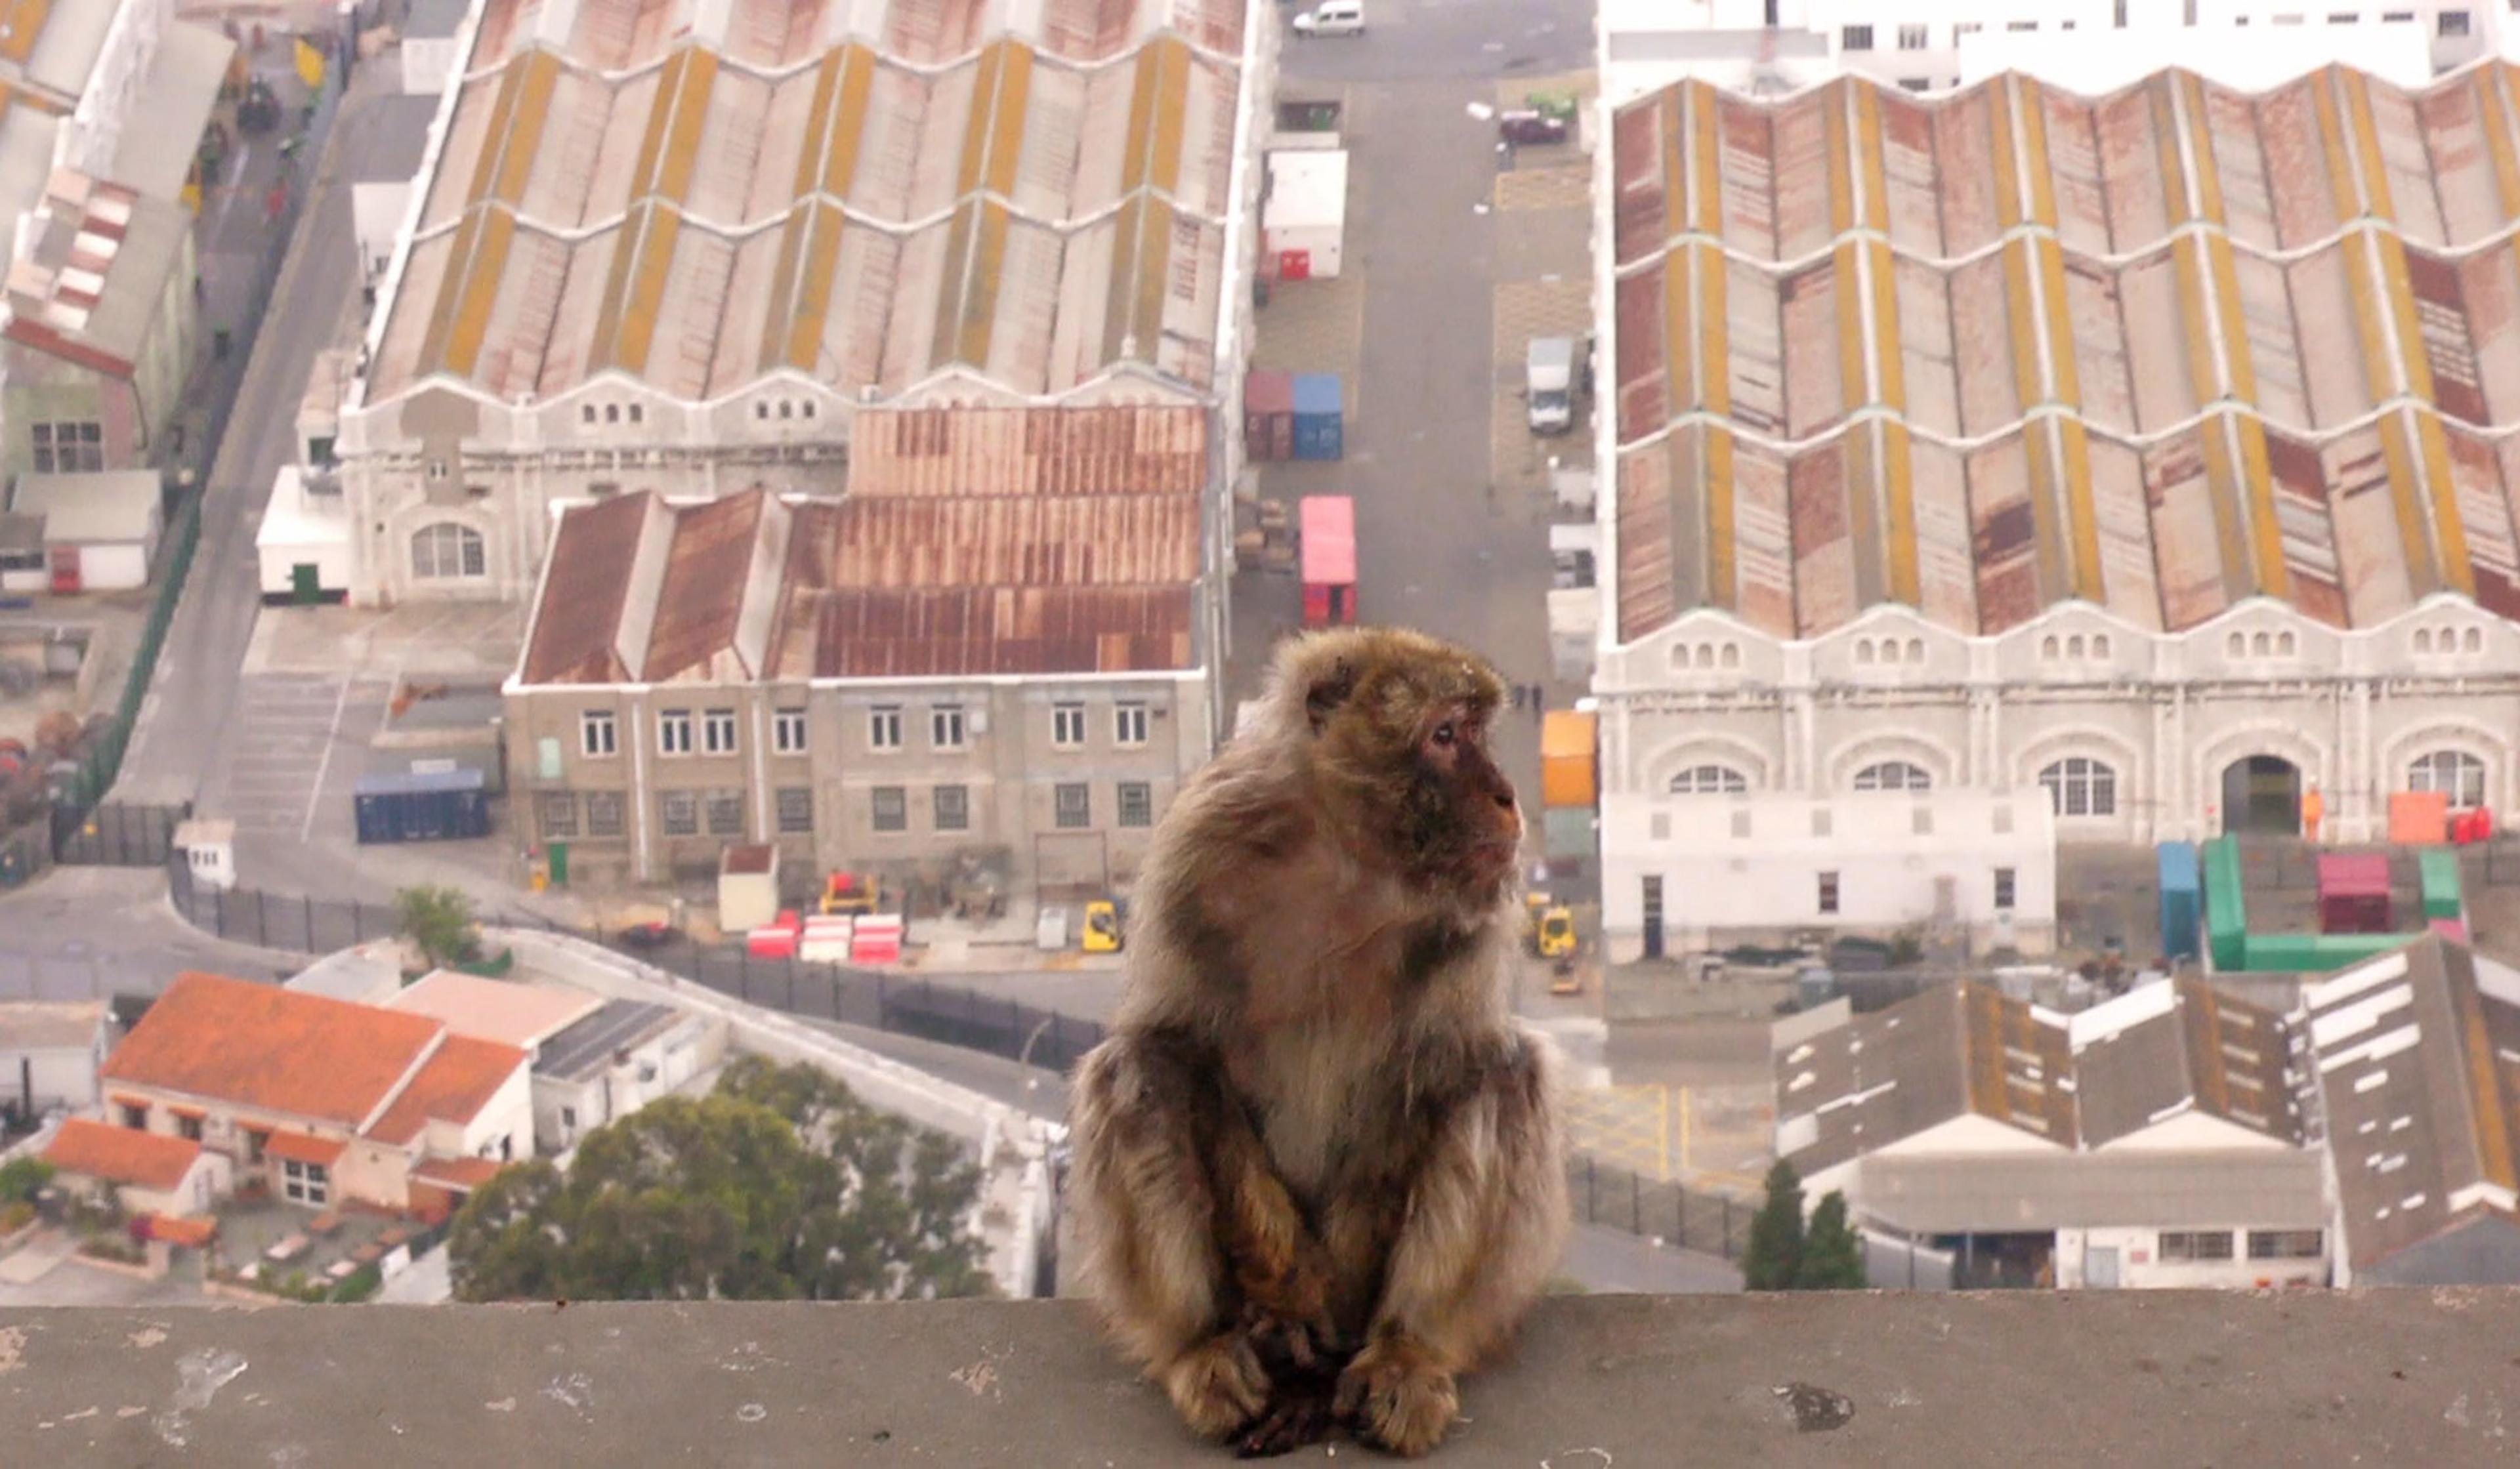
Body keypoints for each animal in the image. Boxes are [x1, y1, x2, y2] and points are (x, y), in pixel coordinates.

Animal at [1067, 626, 1570, 1459]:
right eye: (1445, 735)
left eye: (1475, 728)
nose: (1505, 795)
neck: (1347, 859)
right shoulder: (1198, 850)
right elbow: (1184, 1046)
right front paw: (1288, 1289)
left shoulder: (1470, 917)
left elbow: (1435, 1071)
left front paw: (1353, 1300)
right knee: (1138, 1069)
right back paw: (1206, 1347)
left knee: (1499, 1073)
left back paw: (1404, 1352)